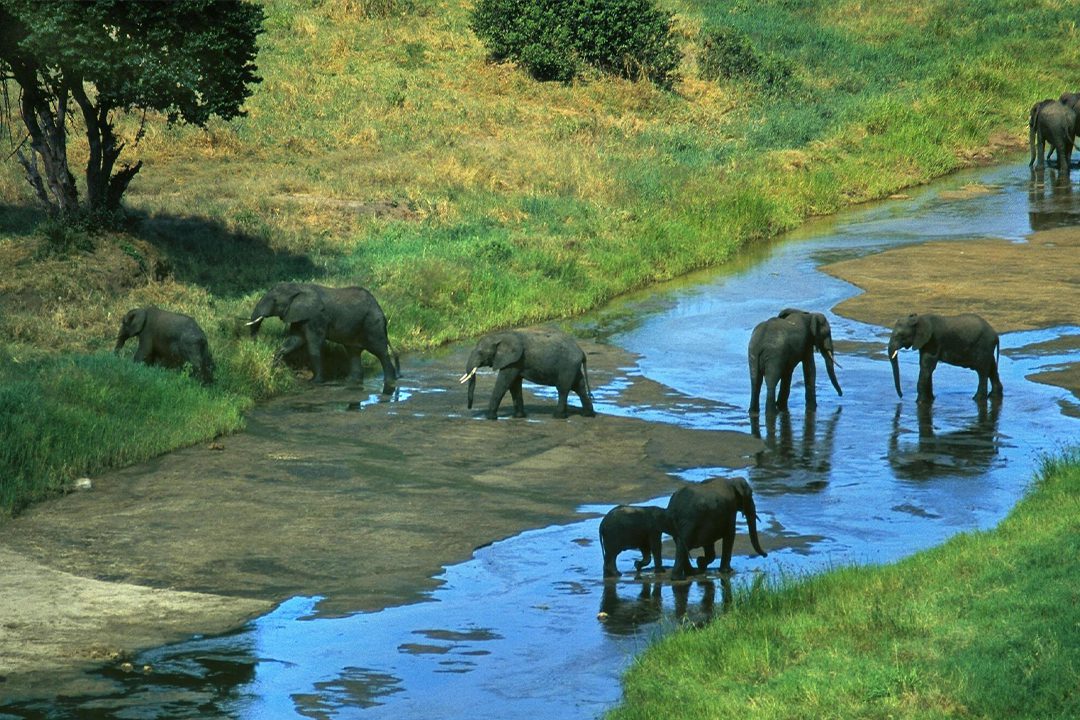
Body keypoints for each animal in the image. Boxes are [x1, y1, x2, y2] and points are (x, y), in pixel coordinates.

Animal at [248, 282, 401, 395]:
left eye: (274, 300)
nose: (255, 343)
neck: (298, 287)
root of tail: (379, 308)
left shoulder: (317, 317)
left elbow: (313, 345)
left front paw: (315, 382)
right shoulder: (300, 316)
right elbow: (294, 341)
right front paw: (274, 365)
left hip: (373, 324)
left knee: (380, 352)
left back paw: (390, 381)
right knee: (353, 352)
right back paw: (350, 381)